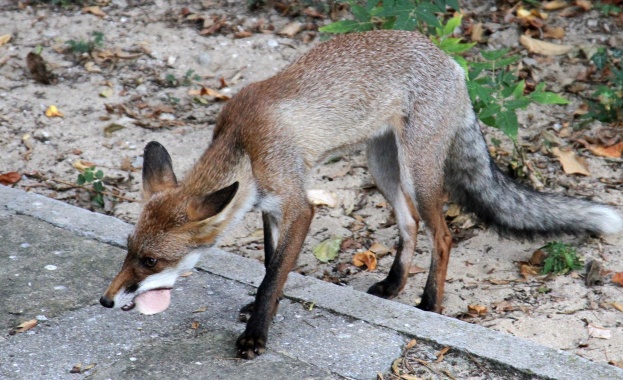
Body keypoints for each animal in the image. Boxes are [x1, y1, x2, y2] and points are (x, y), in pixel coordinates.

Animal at [98, 30, 623, 360]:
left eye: (150, 261)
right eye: (128, 250)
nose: (104, 302)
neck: (244, 145)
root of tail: (450, 59)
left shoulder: (299, 206)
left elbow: (273, 276)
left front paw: (256, 334)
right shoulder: (271, 208)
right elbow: (270, 265)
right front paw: (256, 310)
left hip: (418, 171)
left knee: (443, 234)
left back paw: (429, 306)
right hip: (382, 165)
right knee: (410, 223)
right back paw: (392, 286)